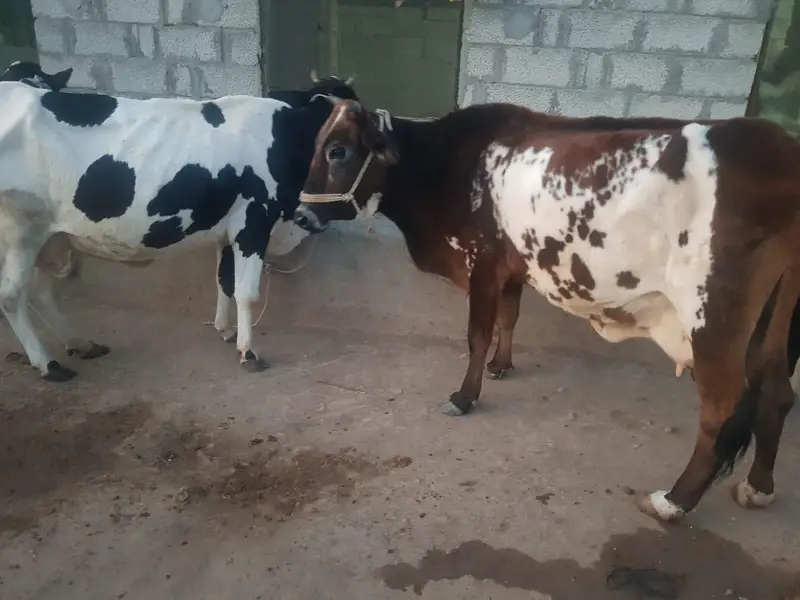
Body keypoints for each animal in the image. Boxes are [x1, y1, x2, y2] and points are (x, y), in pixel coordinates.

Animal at [0, 73, 357, 382]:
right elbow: (246, 292)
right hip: (20, 234)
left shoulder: (228, 229)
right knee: (12, 296)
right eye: (339, 143)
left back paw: (80, 343)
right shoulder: (253, 223)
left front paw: (224, 330)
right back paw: (48, 364)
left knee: (41, 292)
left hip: (50, 237)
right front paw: (248, 352)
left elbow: (224, 281)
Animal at [292, 98, 800, 523]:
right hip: (772, 320)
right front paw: (501, 365)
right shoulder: (511, 269)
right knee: (777, 392)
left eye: (337, 151)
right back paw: (759, 487)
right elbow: (508, 318)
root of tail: (779, 147)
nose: (300, 215)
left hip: (712, 317)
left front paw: (464, 396)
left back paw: (674, 501)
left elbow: (477, 333)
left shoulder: (482, 261)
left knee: (721, 407)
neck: (443, 165)